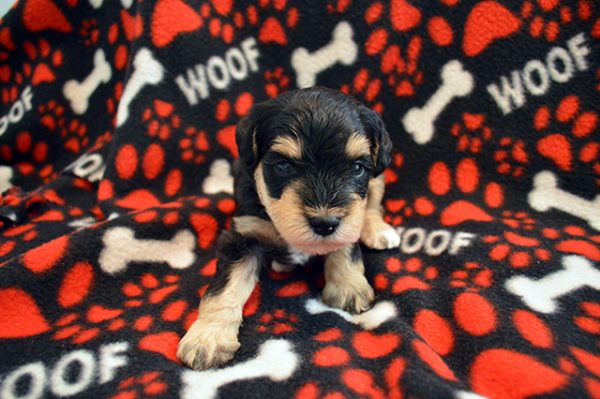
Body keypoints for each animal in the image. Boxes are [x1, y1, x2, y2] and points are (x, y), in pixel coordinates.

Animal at [179, 87, 404, 372]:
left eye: (357, 168)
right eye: (284, 166)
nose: (325, 223)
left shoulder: (351, 216)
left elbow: (346, 246)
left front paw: (348, 286)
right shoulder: (243, 235)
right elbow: (224, 288)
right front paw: (208, 338)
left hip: (379, 178)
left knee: (373, 204)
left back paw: (379, 231)